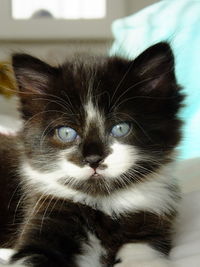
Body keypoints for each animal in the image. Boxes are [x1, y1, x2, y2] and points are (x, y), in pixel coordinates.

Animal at [0, 43, 184, 266]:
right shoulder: (45, 212)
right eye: (66, 133)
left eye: (120, 128)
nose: (93, 160)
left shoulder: (150, 222)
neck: (103, 204)